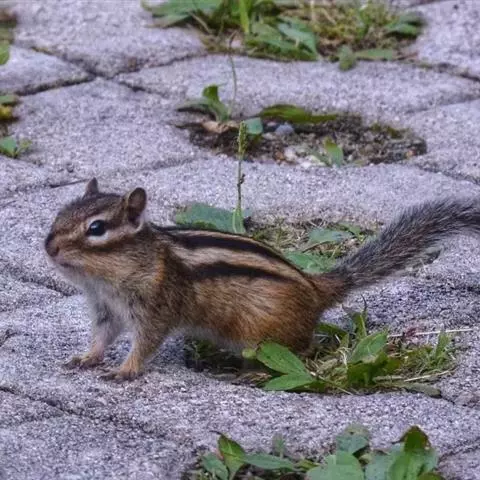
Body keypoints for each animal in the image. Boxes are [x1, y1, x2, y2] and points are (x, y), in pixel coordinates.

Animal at [44, 178, 480, 381]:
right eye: (60, 214)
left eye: (97, 229)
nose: (48, 247)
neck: (107, 280)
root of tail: (317, 290)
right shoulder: (107, 310)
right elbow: (102, 337)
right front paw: (86, 357)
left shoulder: (157, 305)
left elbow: (146, 342)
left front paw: (125, 370)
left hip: (263, 336)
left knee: (304, 350)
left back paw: (253, 372)